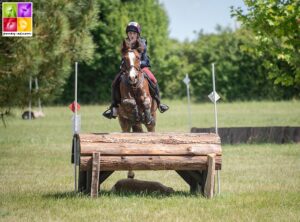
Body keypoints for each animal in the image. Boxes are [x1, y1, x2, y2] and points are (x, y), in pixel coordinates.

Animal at [116, 39, 157, 179]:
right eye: (124, 59)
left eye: (138, 58)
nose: (132, 78)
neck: (134, 86)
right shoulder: (123, 101)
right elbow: (130, 102)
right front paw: (135, 112)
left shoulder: (147, 98)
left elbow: (145, 102)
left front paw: (145, 115)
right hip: (124, 123)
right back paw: (130, 174)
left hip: (152, 122)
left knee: (151, 128)